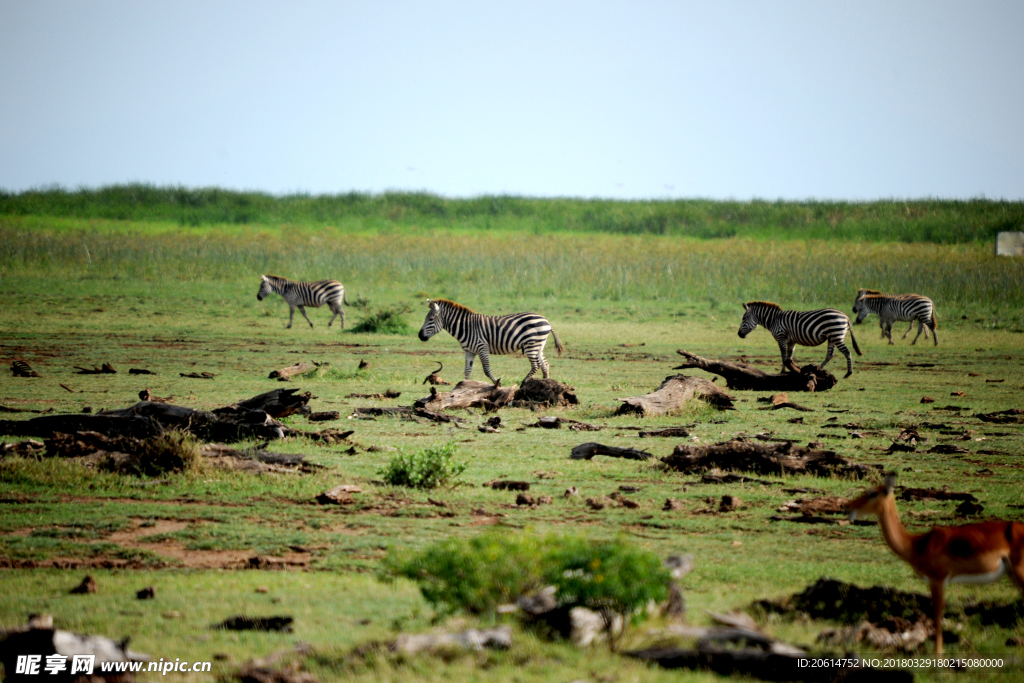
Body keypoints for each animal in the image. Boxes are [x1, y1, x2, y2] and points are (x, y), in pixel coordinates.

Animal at [415, 299, 565, 385]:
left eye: (430, 319)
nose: (420, 336)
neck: (465, 327)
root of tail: (546, 321)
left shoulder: (482, 347)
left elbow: (486, 370)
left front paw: (497, 384)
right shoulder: (469, 351)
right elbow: (467, 370)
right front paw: (463, 388)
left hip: (531, 344)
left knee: (535, 365)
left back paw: (524, 383)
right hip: (539, 345)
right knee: (545, 364)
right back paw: (546, 382)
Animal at [843, 475, 1024, 655]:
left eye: (872, 492)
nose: (847, 506)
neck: (917, 544)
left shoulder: (937, 580)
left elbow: (937, 618)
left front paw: (938, 654)